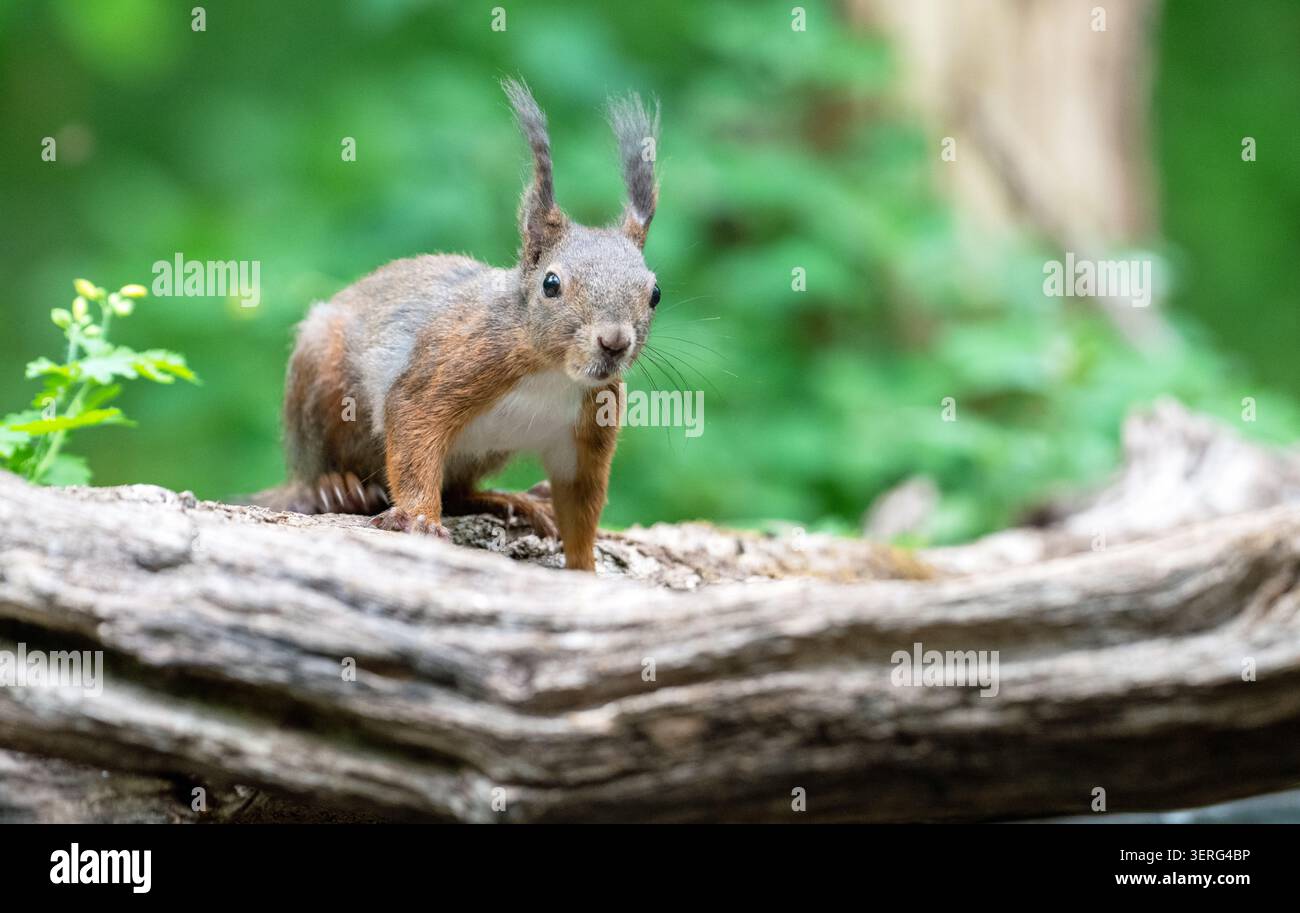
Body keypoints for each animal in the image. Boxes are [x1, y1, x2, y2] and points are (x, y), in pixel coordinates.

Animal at [255, 79, 661, 571]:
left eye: (655, 293)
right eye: (551, 284)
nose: (614, 341)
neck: (551, 372)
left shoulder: (590, 424)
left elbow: (582, 501)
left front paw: (584, 569)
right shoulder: (456, 362)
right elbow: (414, 429)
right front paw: (419, 518)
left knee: (459, 492)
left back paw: (508, 501)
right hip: (318, 384)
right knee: (317, 467)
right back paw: (333, 487)